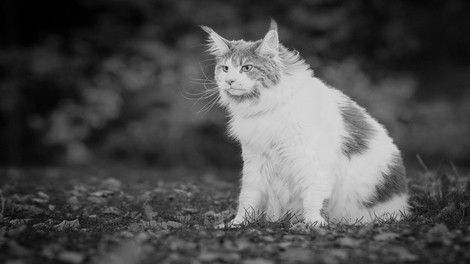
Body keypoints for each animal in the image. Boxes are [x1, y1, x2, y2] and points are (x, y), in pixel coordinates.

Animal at [200, 20, 410, 226]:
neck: (266, 108)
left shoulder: (311, 159)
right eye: (225, 68)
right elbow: (248, 197)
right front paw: (238, 223)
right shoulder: (255, 160)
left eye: (246, 68)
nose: (229, 81)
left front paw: (313, 222)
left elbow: (312, 196)